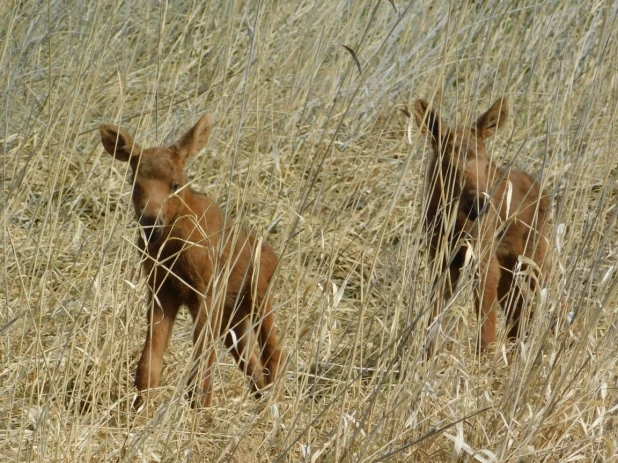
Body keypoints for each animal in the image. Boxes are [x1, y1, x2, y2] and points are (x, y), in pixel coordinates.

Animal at [100, 114, 286, 408]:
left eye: (176, 185)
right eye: (135, 183)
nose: (151, 221)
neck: (174, 246)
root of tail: (273, 254)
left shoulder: (207, 289)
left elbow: (202, 359)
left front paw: (199, 408)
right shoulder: (161, 289)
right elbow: (149, 362)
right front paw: (142, 407)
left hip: (259, 295)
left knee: (275, 354)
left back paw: (274, 406)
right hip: (234, 319)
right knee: (254, 364)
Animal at [414, 97, 548, 352]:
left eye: (486, 165)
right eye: (448, 165)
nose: (478, 204)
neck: (453, 223)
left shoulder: (483, 259)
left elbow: (486, 328)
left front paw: (485, 357)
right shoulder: (441, 259)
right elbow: (433, 317)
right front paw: (428, 353)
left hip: (534, 257)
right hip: (509, 265)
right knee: (519, 309)